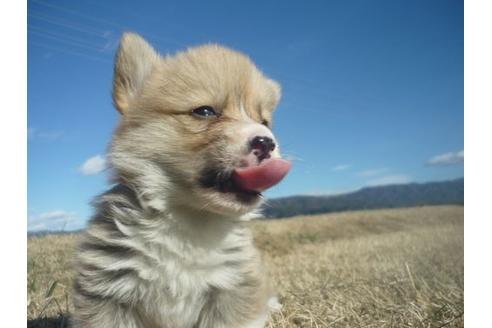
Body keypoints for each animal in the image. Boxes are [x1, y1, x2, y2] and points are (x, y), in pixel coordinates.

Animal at [71, 32, 290, 328]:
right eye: (205, 111)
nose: (266, 142)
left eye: (265, 121)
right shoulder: (108, 292)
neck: (191, 219)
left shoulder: (233, 288)